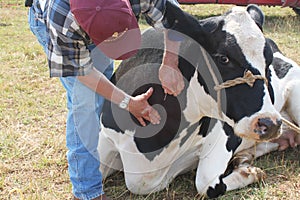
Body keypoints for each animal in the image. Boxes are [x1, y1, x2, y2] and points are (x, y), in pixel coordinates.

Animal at [98, 3, 286, 198]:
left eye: (268, 61)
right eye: (223, 58)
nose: (270, 123)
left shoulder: (224, 133)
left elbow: (204, 183)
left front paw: (250, 172)